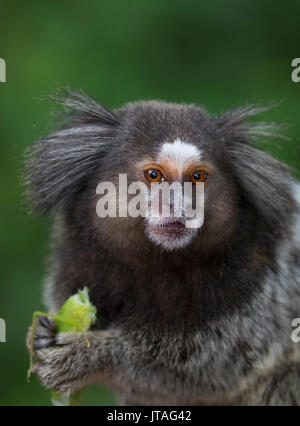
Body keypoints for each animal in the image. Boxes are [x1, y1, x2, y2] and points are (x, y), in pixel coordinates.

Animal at [25, 91, 300, 404]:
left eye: (197, 177)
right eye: (154, 175)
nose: (178, 207)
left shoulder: (259, 280)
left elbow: (210, 366)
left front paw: (92, 357)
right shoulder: (79, 253)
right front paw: (42, 332)